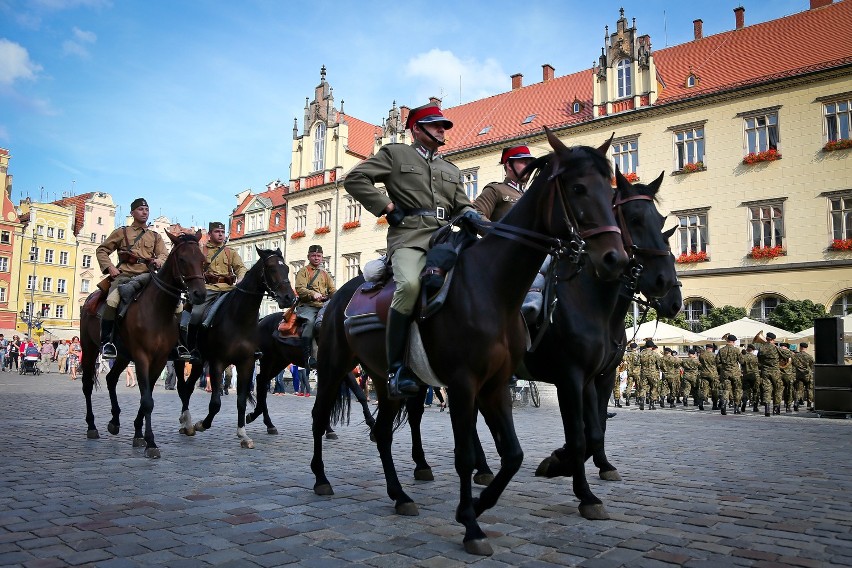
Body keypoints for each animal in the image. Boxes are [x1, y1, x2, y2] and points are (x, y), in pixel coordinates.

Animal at [79, 231, 206, 458]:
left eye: (202, 260)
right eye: (182, 259)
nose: (200, 294)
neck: (158, 309)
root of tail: (90, 299)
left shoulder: (159, 359)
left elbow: (146, 397)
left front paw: (139, 434)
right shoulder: (141, 357)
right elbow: (147, 400)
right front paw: (151, 442)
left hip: (122, 355)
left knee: (111, 379)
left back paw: (115, 421)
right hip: (90, 348)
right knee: (87, 385)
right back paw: (92, 426)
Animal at [173, 247, 296, 448]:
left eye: (285, 268)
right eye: (271, 268)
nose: (289, 298)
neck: (239, 319)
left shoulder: (246, 363)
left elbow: (241, 401)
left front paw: (243, 434)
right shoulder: (217, 363)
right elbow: (215, 403)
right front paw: (202, 424)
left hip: (199, 363)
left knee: (189, 388)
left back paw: (187, 423)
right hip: (180, 359)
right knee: (183, 388)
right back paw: (187, 422)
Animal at [310, 130, 628, 556]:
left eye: (610, 190)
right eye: (578, 188)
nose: (614, 259)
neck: (492, 287)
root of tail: (338, 296)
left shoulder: (497, 385)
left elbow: (514, 454)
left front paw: (476, 506)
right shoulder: (466, 384)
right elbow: (465, 455)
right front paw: (472, 525)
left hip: (384, 381)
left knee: (383, 433)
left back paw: (400, 495)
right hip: (333, 368)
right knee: (319, 418)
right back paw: (321, 478)